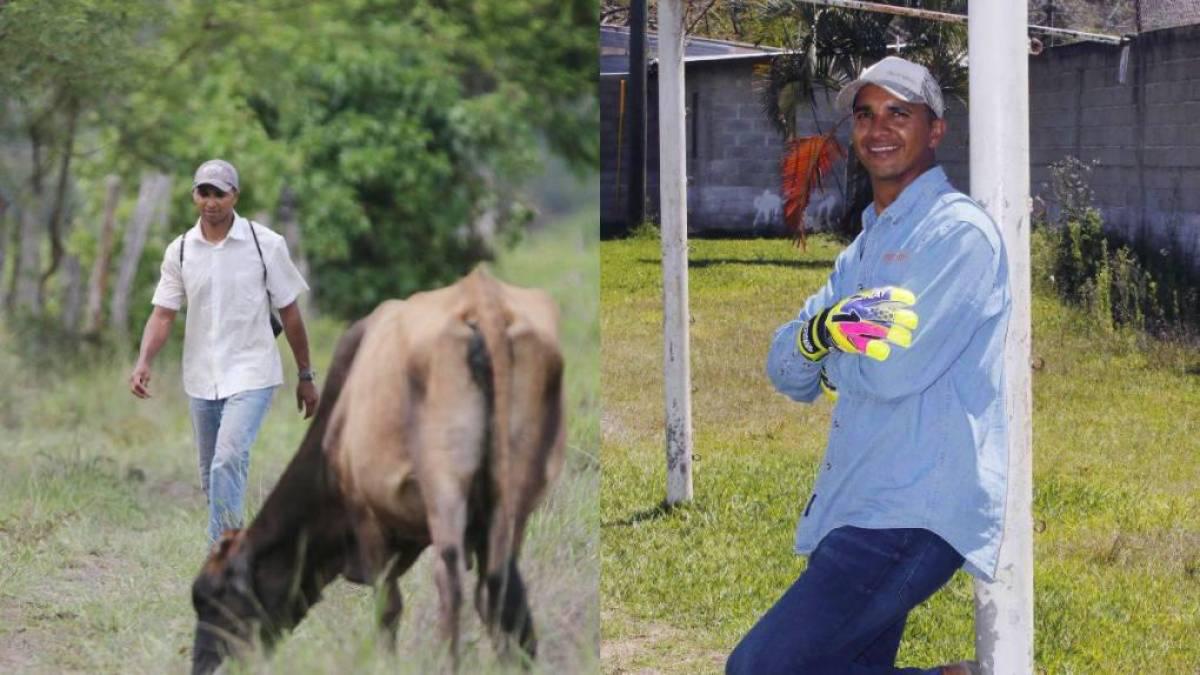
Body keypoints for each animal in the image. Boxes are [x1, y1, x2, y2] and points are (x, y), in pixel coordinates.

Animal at [189, 267, 564, 672]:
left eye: (214, 599)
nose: (203, 666)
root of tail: (482, 303)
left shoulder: (366, 514)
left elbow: (388, 607)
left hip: (444, 485)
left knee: (450, 582)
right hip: (515, 493)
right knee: (499, 586)